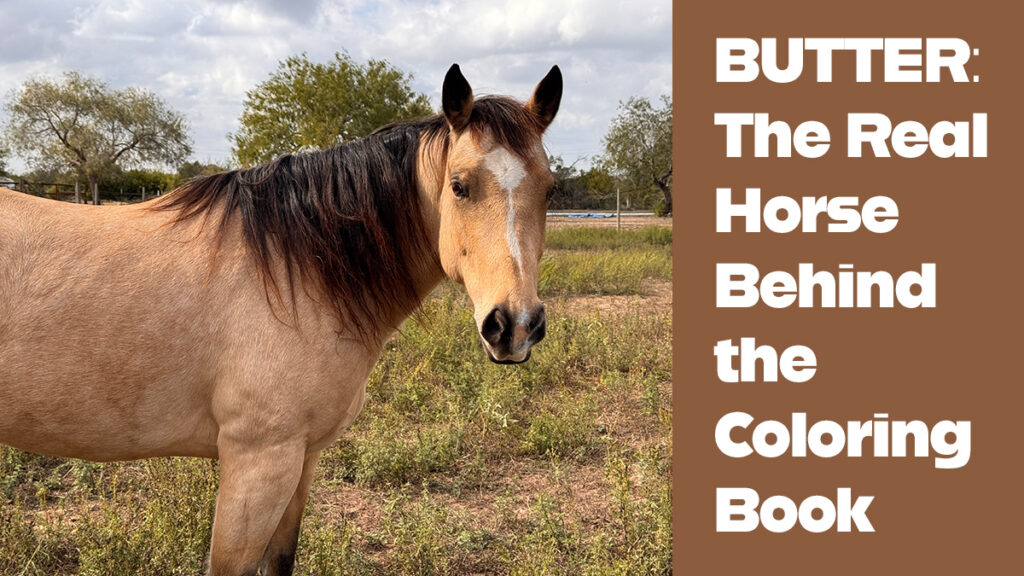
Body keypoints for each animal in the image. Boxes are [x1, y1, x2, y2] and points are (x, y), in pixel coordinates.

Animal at [0, 63, 561, 576]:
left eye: (551, 190)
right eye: (459, 186)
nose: (514, 326)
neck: (296, 274)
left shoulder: (301, 458)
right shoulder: (258, 464)